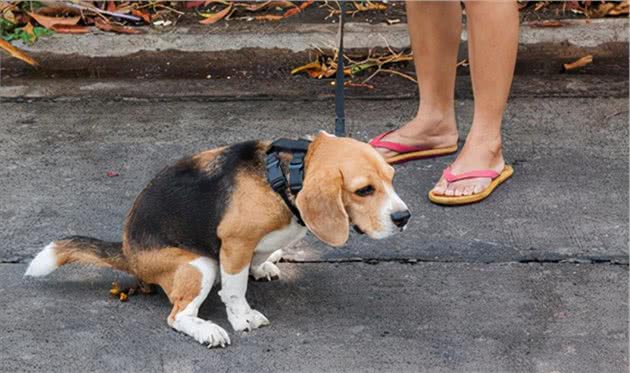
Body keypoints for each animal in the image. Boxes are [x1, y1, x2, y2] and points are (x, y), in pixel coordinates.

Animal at [24, 131, 410, 346]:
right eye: (364, 190)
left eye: (392, 179)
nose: (404, 218)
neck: (286, 176)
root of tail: (127, 251)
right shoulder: (234, 242)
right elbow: (235, 289)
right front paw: (242, 318)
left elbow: (256, 259)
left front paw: (262, 266)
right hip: (199, 265)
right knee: (178, 316)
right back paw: (208, 331)